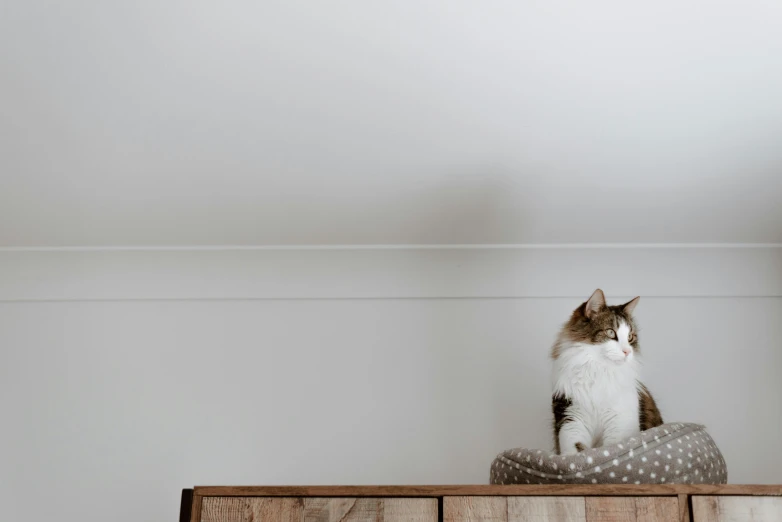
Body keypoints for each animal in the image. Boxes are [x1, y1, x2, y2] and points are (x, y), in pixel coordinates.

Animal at [556, 286, 664, 452]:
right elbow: (576, 450)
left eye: (630, 337)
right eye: (611, 332)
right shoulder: (571, 417)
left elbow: (612, 447)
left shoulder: (620, 421)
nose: (627, 352)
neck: (599, 370)